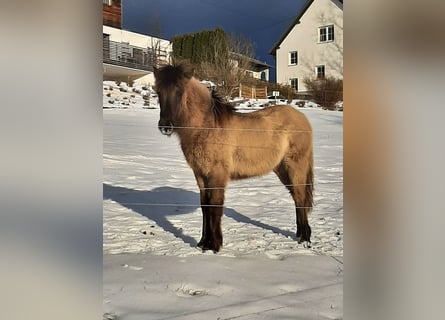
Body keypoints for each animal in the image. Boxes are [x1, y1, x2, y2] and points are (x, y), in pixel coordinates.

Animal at [154, 63, 314, 252]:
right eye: (158, 92)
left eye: (179, 91)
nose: (165, 126)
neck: (207, 127)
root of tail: (302, 118)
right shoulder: (200, 175)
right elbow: (205, 206)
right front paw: (203, 243)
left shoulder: (217, 175)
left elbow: (215, 206)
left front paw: (214, 245)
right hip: (282, 169)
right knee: (297, 198)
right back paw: (300, 235)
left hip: (296, 167)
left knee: (300, 197)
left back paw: (305, 238)